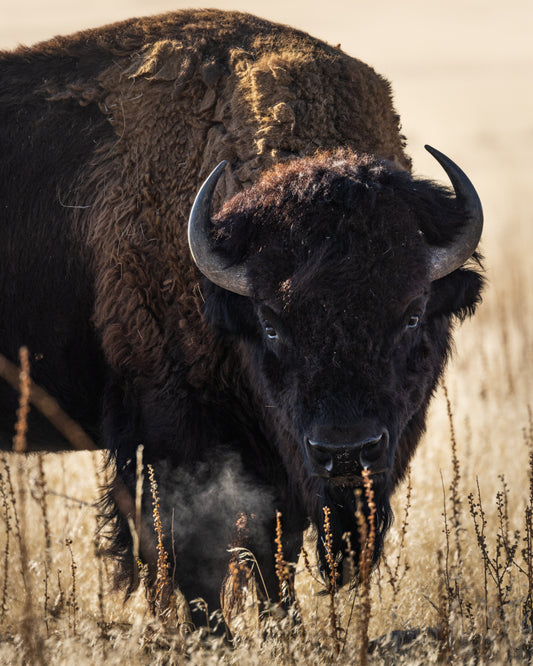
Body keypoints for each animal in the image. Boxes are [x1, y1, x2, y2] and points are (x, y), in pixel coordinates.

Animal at [0, 10, 483, 625]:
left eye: (414, 314)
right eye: (271, 322)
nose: (345, 451)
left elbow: (276, 552)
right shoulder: (169, 433)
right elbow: (188, 555)